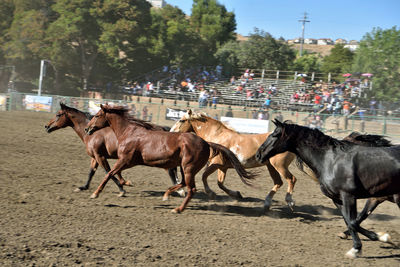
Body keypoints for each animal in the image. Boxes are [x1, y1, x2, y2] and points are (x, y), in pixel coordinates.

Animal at [44, 103, 184, 198]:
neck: (93, 134)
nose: (46, 126)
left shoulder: (101, 156)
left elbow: (108, 171)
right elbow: (92, 172)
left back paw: (179, 190)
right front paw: (83, 187)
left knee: (171, 171)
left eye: (58, 114)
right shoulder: (95, 156)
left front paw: (122, 188)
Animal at [83, 104, 256, 214]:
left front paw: (95, 193)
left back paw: (178, 209)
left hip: (188, 168)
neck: (129, 132)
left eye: (97, 115)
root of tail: (206, 143)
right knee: (184, 183)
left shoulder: (125, 160)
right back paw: (167, 195)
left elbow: (109, 174)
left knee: (191, 189)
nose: (87, 128)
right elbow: (114, 174)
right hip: (186, 168)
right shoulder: (125, 162)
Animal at [256, 120, 400, 258]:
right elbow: (350, 221)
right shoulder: (338, 199)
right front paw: (373, 240)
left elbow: (354, 222)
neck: (330, 161)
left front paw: (365, 245)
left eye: (275, 135)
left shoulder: (349, 196)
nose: (258, 154)